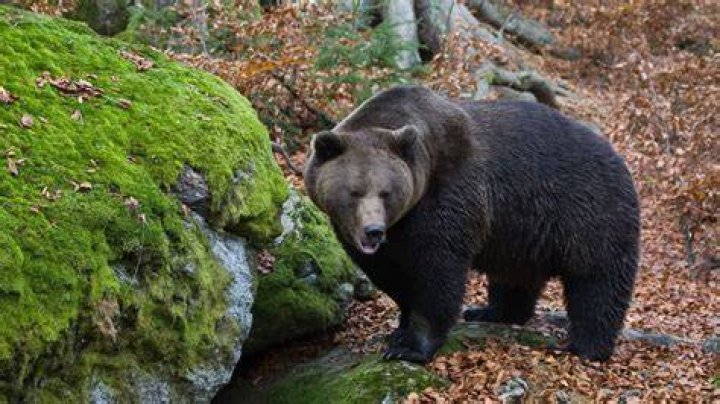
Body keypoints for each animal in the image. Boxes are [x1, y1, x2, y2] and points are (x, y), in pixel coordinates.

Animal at [304, 85, 640, 364]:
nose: (373, 231)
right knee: (515, 276)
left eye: (386, 192)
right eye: (354, 191)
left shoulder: (449, 196)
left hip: (590, 212)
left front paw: (410, 346)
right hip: (522, 232)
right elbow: (391, 275)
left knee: (597, 282)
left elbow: (437, 274)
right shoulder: (373, 234)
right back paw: (492, 311)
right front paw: (399, 328)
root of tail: (619, 159)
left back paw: (586, 347)